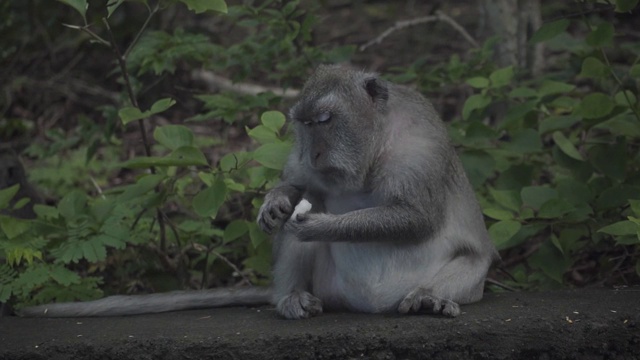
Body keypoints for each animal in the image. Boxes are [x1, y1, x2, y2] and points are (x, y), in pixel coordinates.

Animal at [17, 64, 498, 318]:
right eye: (303, 125)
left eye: (325, 121)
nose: (314, 153)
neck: (375, 147)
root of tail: (364, 304)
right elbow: (299, 189)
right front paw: (278, 201)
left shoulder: (420, 146)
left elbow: (416, 217)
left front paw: (321, 225)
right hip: (330, 286)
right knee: (294, 239)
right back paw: (289, 297)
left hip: (469, 281)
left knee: (461, 268)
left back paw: (430, 298)